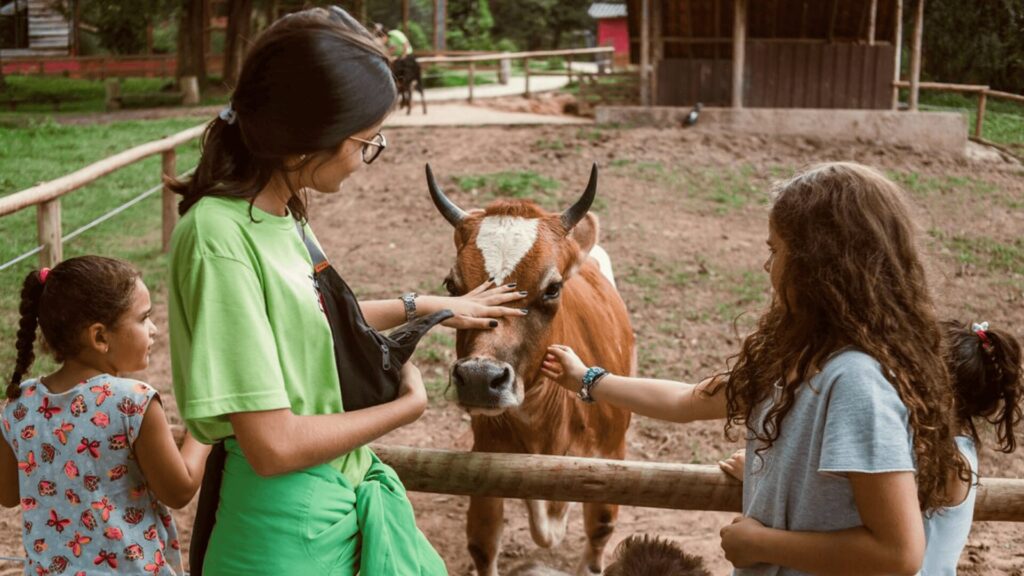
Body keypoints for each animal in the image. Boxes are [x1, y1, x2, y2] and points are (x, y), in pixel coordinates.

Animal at [421, 162, 630, 573]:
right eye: (452, 285)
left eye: (552, 288)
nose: (479, 378)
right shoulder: (485, 463)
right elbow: (483, 544)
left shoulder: (611, 458)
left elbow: (598, 534)